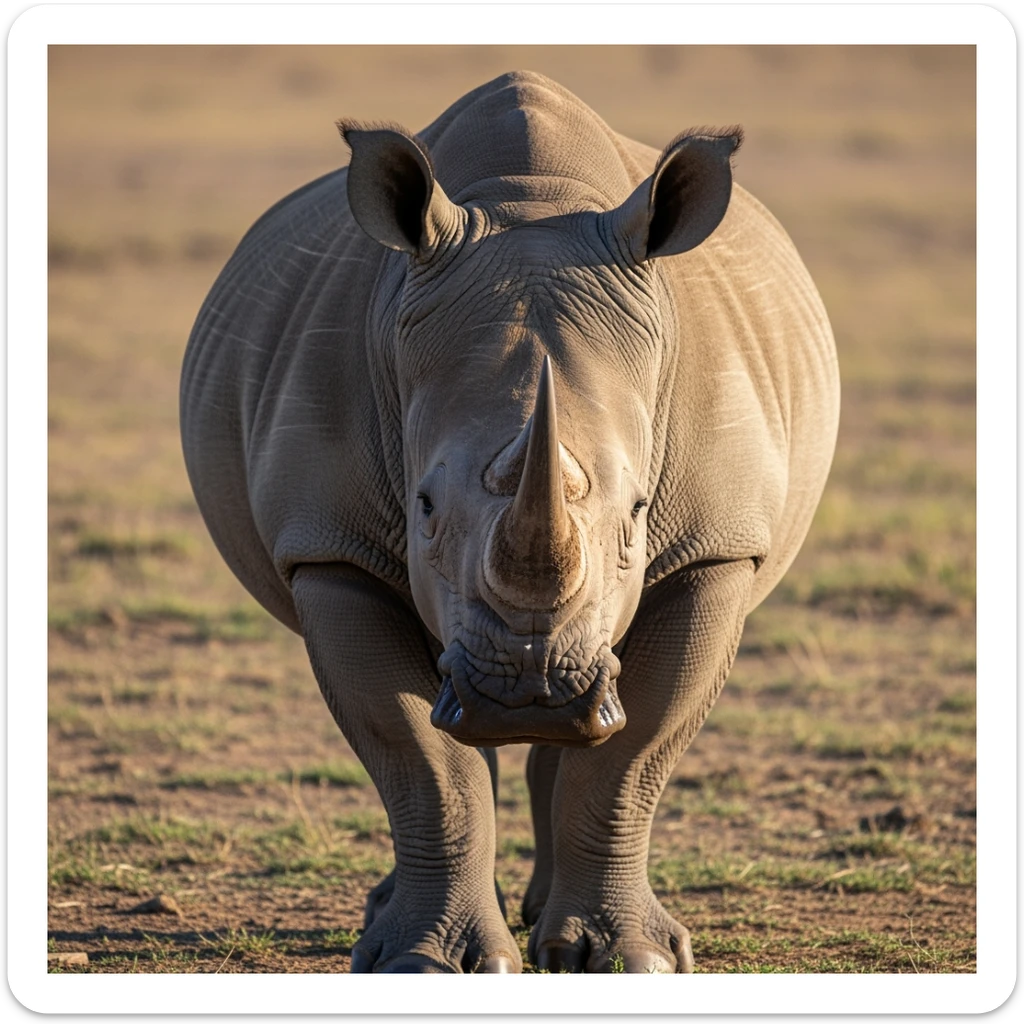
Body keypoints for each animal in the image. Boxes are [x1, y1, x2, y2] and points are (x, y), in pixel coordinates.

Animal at [180, 71, 839, 973]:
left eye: (640, 512)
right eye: (422, 509)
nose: (533, 695)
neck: (532, 205)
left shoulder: (718, 550)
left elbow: (633, 754)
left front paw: (628, 960)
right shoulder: (329, 550)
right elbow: (418, 758)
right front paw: (425, 964)